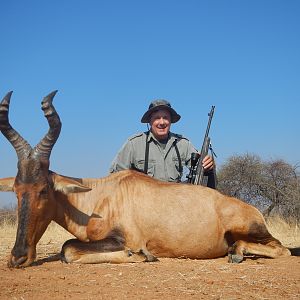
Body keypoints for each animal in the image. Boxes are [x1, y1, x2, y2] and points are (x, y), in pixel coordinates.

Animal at [0, 91, 290, 268]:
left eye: (44, 190)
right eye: (17, 190)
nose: (18, 257)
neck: (102, 195)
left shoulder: (123, 237)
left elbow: (68, 249)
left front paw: (140, 254)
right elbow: (69, 249)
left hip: (250, 229)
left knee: (283, 249)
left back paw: (238, 254)